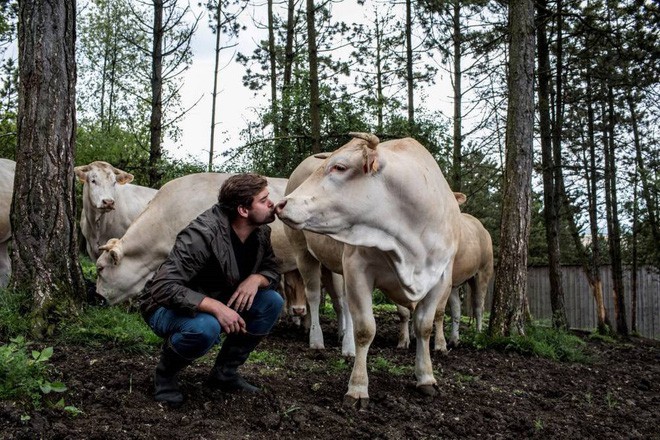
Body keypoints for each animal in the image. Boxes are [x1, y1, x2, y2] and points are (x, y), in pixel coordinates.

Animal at [276, 132, 462, 408]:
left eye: (340, 167)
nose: (282, 204)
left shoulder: (439, 278)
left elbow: (424, 327)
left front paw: (426, 377)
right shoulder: (358, 269)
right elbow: (365, 329)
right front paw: (357, 387)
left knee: (342, 303)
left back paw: (345, 342)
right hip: (304, 253)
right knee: (314, 297)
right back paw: (318, 339)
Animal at [394, 206, 492, 350]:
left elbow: (437, 311)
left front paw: (439, 345)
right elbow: (404, 312)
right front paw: (404, 340)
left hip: (482, 273)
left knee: (479, 306)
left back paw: (478, 335)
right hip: (455, 282)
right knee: (456, 308)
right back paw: (454, 339)